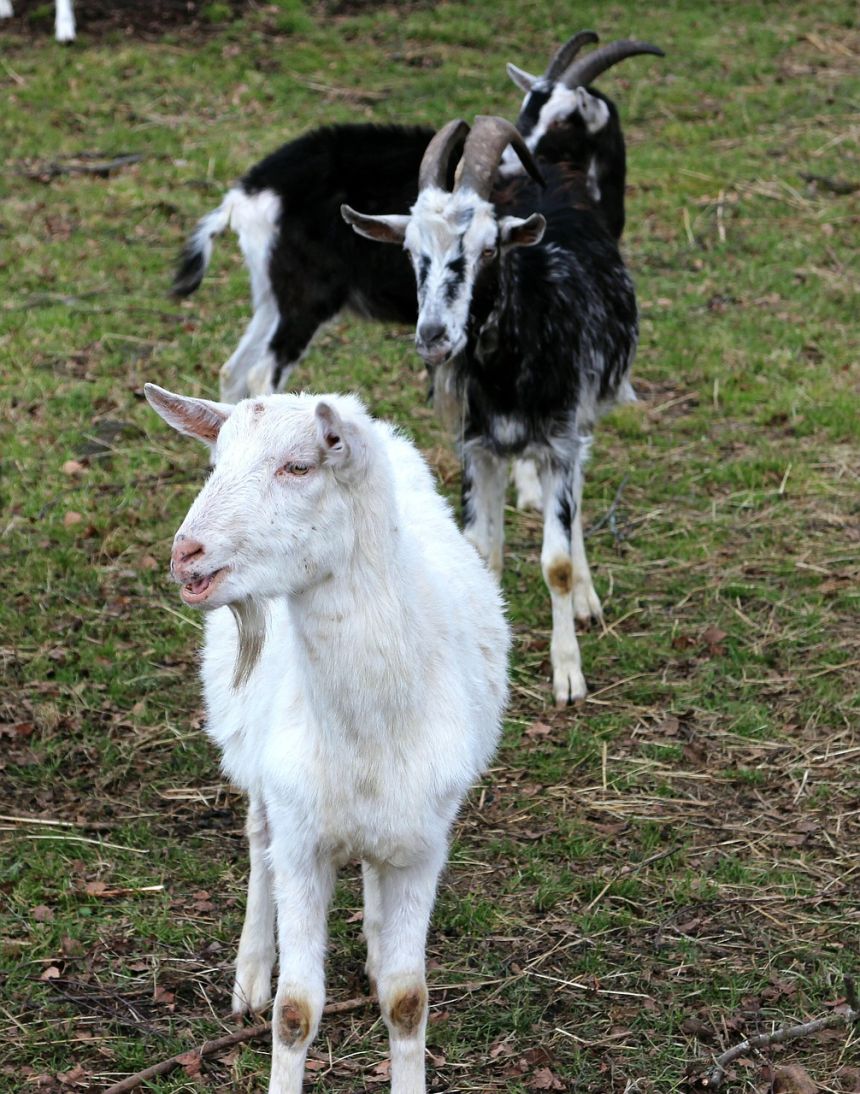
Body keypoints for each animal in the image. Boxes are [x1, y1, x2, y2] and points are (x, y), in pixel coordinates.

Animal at [144, 385, 505, 1094]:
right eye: (215, 462)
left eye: (299, 467)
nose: (186, 553)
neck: (366, 732)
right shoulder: (301, 838)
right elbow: (295, 1011)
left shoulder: (424, 843)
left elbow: (408, 1000)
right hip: (255, 757)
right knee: (258, 841)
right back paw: (251, 974)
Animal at [341, 115, 634, 704]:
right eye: (410, 253)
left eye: (489, 250)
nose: (433, 336)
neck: (509, 373)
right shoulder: (477, 448)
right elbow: (481, 553)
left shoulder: (559, 442)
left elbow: (556, 563)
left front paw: (568, 673)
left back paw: (587, 598)